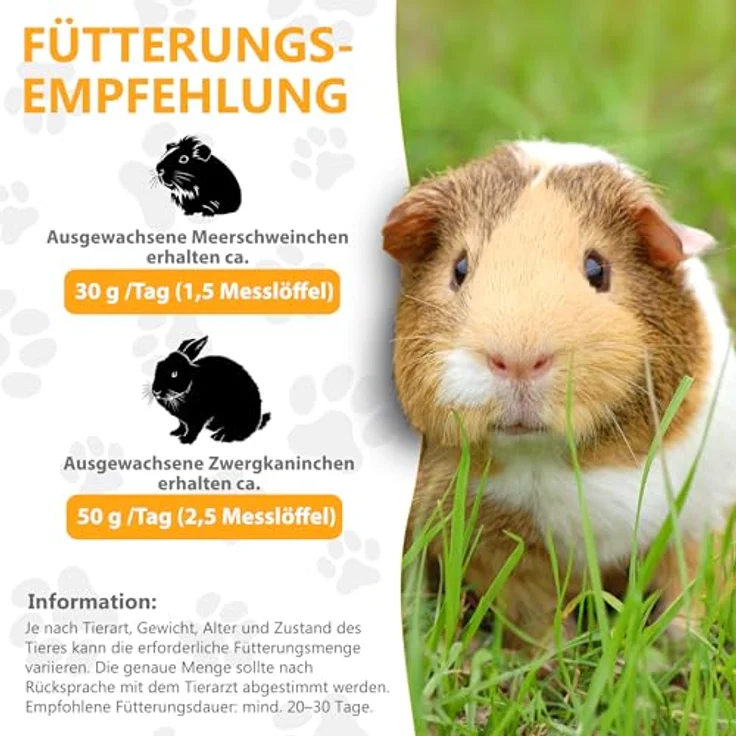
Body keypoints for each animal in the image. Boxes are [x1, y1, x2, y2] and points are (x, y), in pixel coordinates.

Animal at [383, 140, 736, 650]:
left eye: (597, 268)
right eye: (459, 268)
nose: (517, 360)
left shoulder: (700, 515)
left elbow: (688, 585)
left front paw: (683, 643)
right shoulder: (496, 546)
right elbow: (533, 613)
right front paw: (555, 654)